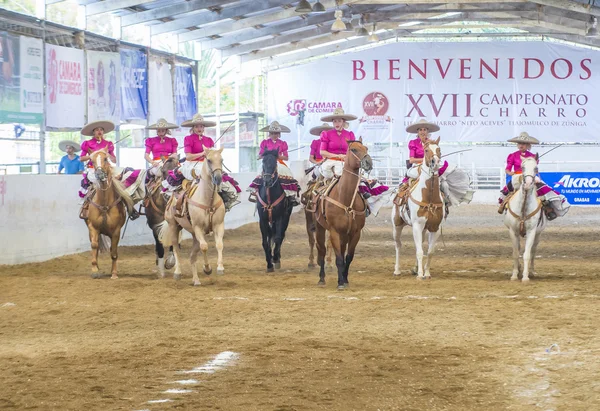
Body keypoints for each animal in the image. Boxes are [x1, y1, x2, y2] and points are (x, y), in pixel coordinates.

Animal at [85, 148, 134, 280]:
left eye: (106, 159)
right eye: (91, 160)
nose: (100, 174)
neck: (104, 204)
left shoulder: (116, 231)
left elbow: (114, 252)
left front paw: (114, 274)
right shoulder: (93, 227)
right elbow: (94, 246)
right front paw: (94, 270)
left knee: (113, 249)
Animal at [158, 148, 226, 286]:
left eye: (221, 160)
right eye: (209, 160)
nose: (218, 178)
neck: (208, 200)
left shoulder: (218, 225)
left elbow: (219, 244)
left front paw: (220, 268)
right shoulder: (198, 228)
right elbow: (204, 247)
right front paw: (207, 268)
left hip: (194, 236)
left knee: (192, 256)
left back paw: (196, 280)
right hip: (174, 226)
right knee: (176, 248)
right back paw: (177, 272)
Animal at [312, 140, 372, 288]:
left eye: (366, 148)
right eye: (354, 149)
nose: (368, 162)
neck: (345, 198)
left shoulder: (355, 233)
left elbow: (348, 257)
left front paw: (345, 279)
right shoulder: (334, 231)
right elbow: (339, 258)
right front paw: (340, 282)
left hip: (345, 234)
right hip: (320, 227)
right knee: (321, 250)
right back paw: (321, 278)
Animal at [394, 138, 446, 280]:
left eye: (439, 149)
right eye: (426, 150)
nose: (435, 162)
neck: (429, 197)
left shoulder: (435, 227)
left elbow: (429, 251)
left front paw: (426, 273)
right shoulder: (417, 226)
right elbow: (419, 252)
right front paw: (420, 275)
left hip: (423, 229)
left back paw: (415, 268)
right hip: (397, 225)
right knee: (398, 245)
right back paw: (397, 270)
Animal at [504, 155, 548, 284]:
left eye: (536, 168)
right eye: (522, 168)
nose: (528, 183)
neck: (523, 208)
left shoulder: (531, 231)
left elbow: (527, 254)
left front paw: (525, 276)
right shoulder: (513, 231)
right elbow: (515, 253)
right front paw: (514, 275)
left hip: (538, 234)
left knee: (533, 251)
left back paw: (531, 271)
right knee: (518, 248)